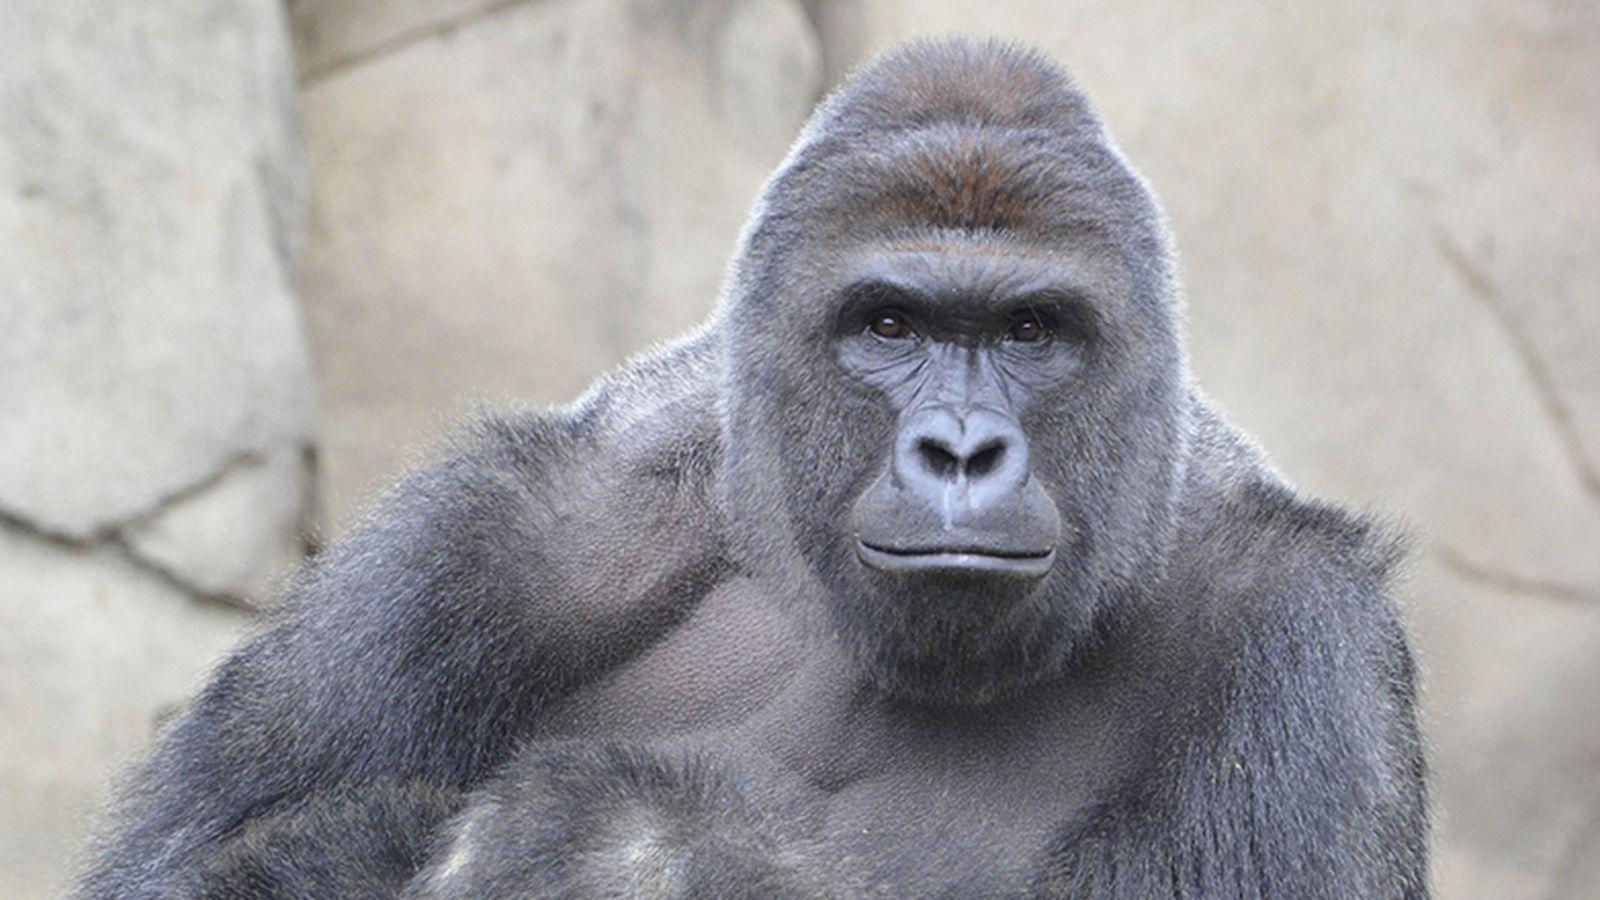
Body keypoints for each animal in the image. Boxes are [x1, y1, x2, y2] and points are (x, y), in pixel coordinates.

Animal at [80, 38, 1427, 898]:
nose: (960, 450)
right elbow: (175, 876)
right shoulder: (491, 535)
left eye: (1032, 332)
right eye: (887, 324)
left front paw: (626, 851)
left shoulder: (1305, 632)